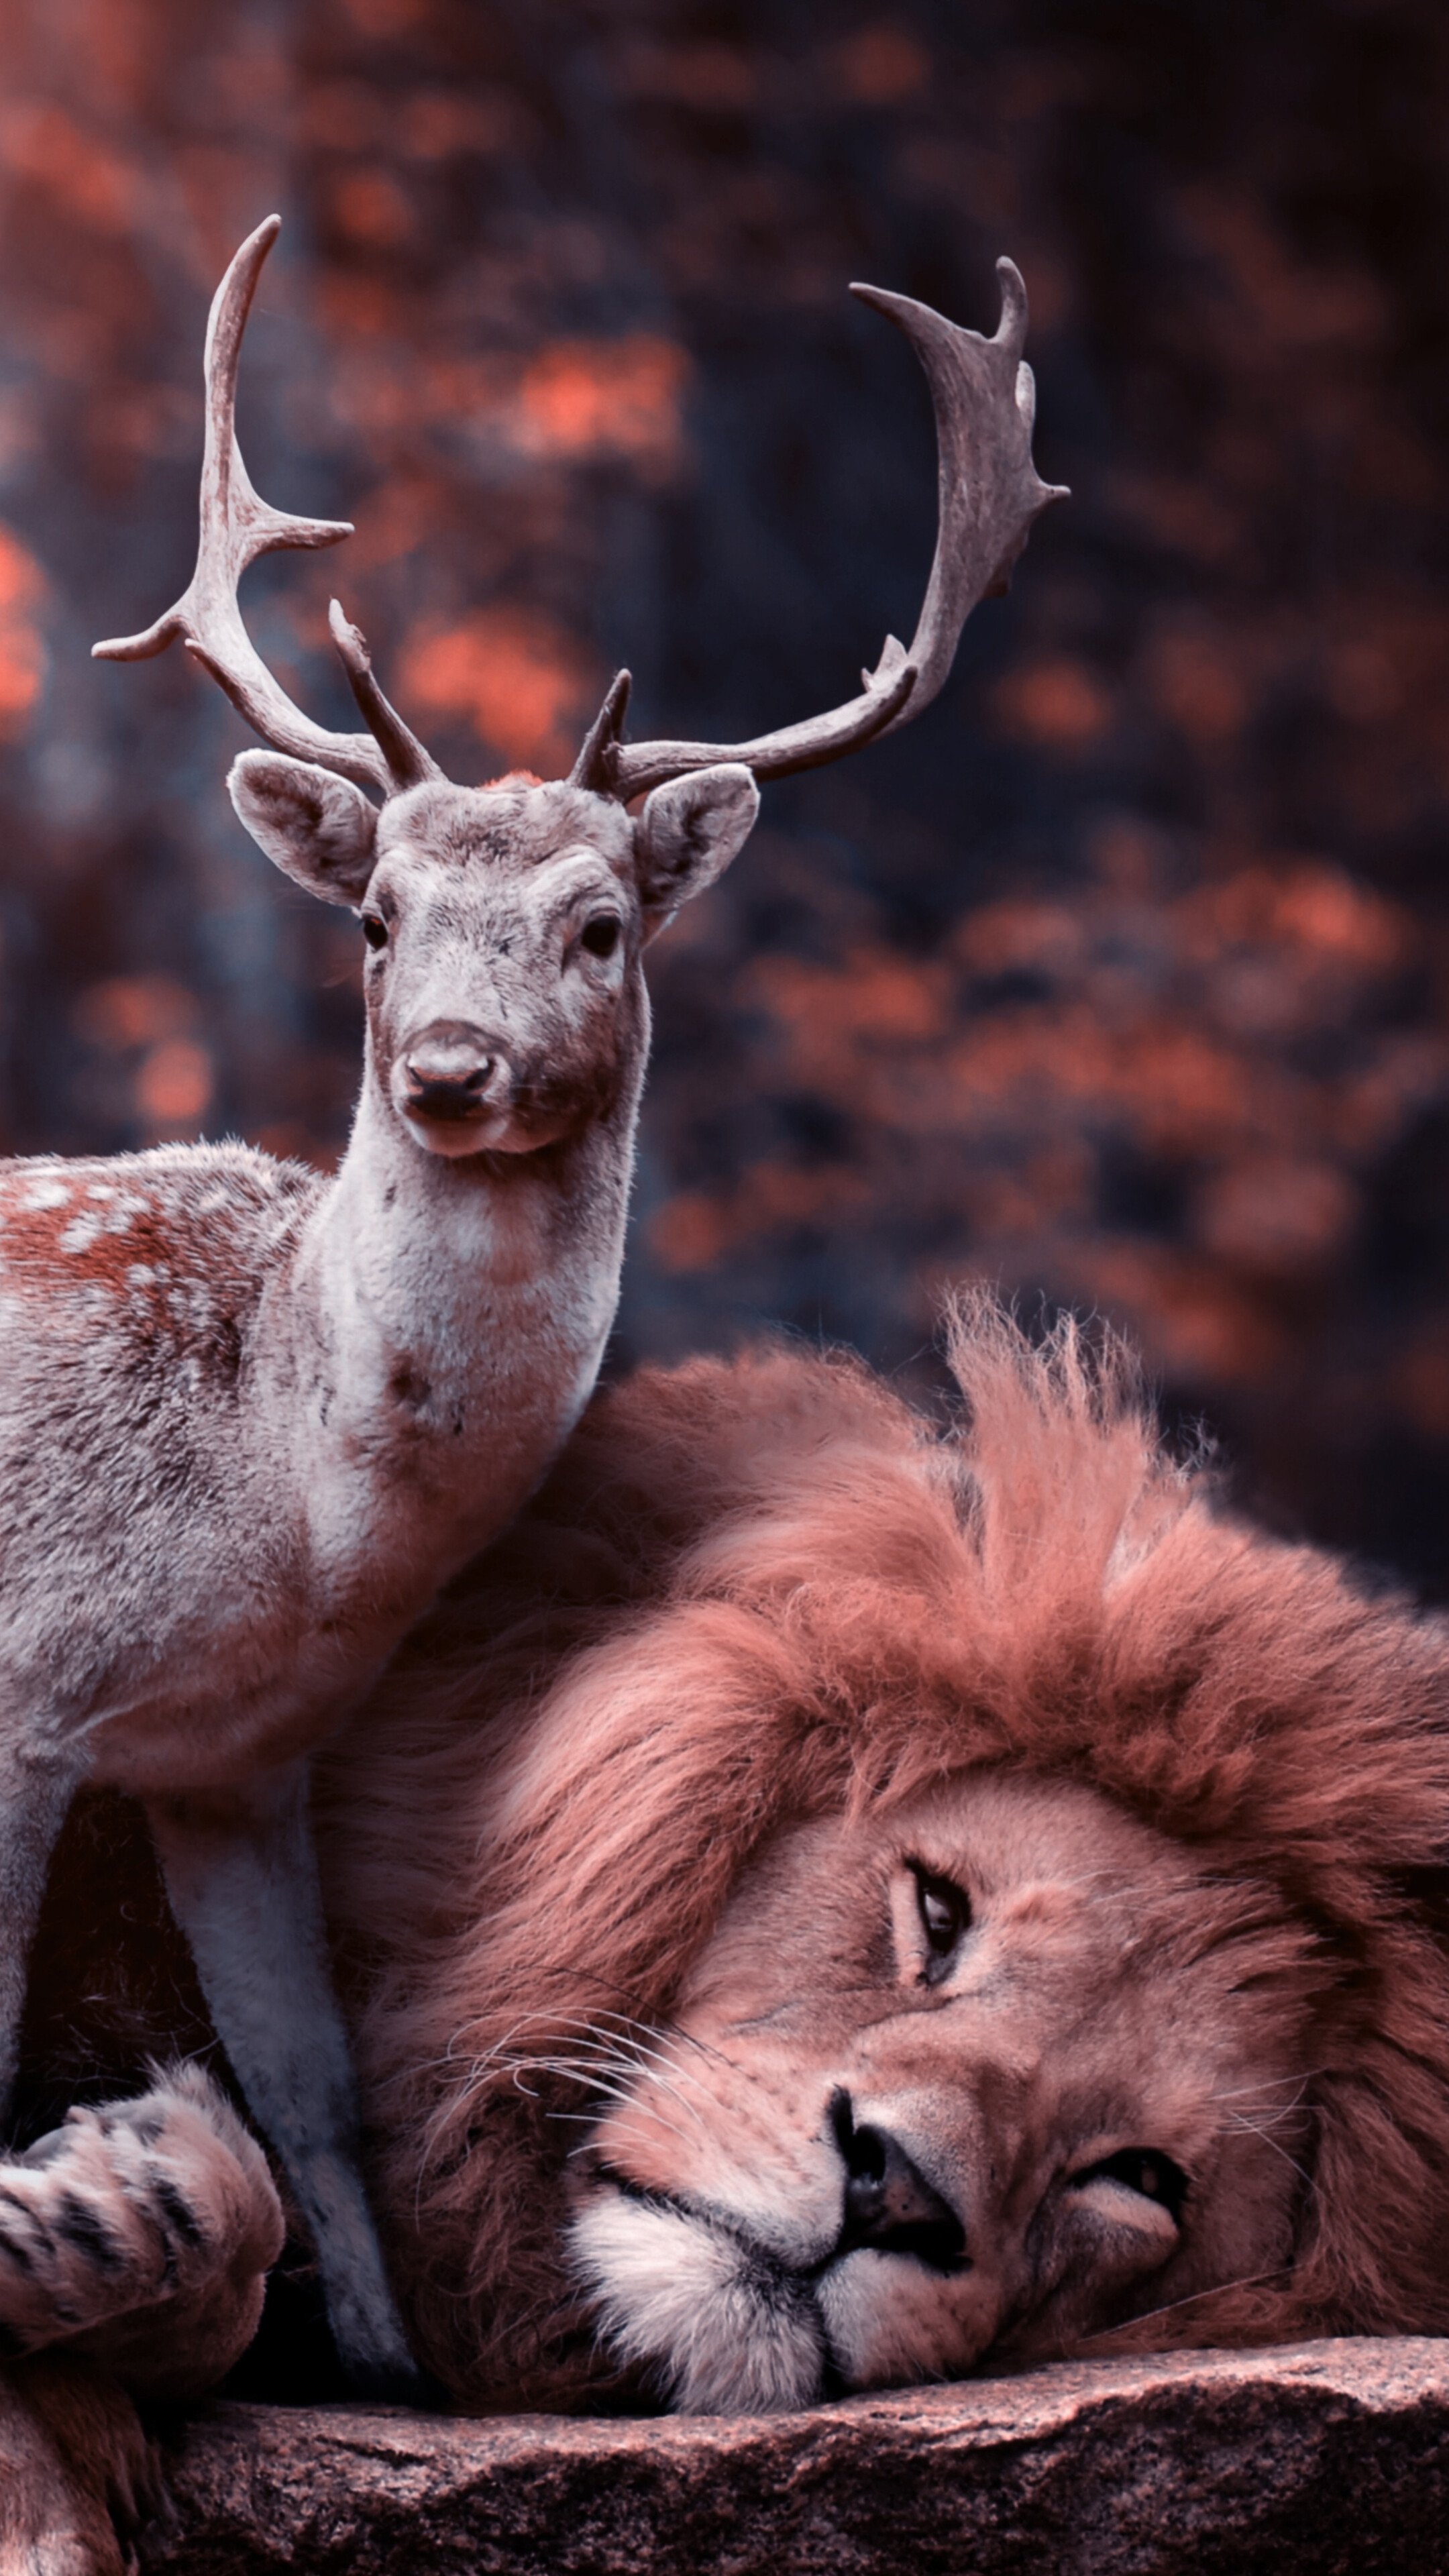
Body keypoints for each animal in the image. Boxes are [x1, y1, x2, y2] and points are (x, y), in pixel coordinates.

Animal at [0, 215, 1064, 2399]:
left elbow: (313, 2089)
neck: (286, 1510)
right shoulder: (20, 1683)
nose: (449, 1068)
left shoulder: (237, 1756)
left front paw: (387, 2364)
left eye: (598, 923)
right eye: (375, 917)